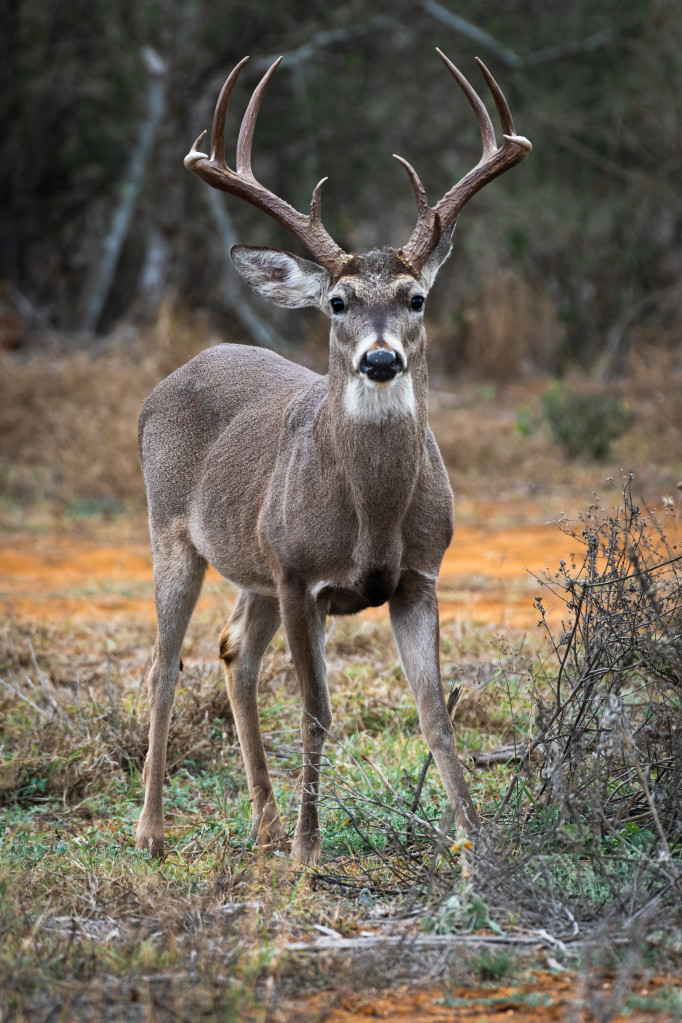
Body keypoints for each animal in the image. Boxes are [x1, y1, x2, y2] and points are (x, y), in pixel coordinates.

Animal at [135, 48, 531, 863]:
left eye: (416, 297)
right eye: (339, 302)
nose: (381, 360)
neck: (372, 517)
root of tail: (172, 377)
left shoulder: (419, 575)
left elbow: (436, 712)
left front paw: (476, 845)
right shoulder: (298, 575)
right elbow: (316, 710)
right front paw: (309, 853)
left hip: (251, 559)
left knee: (232, 650)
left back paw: (262, 821)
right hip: (173, 532)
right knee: (163, 663)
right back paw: (154, 831)